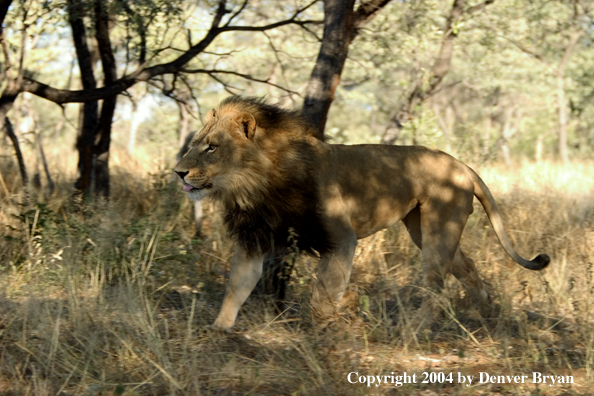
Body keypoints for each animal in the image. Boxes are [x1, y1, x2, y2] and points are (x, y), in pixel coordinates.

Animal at [173, 96, 548, 332]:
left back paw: (413, 330)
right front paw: (218, 330)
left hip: (439, 228)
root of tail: (462, 165)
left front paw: (333, 322)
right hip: (422, 228)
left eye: (212, 147)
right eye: (194, 144)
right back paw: (488, 315)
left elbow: (324, 294)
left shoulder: (341, 238)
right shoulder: (254, 237)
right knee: (467, 268)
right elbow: (237, 285)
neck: (256, 184)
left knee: (435, 284)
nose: (178, 172)